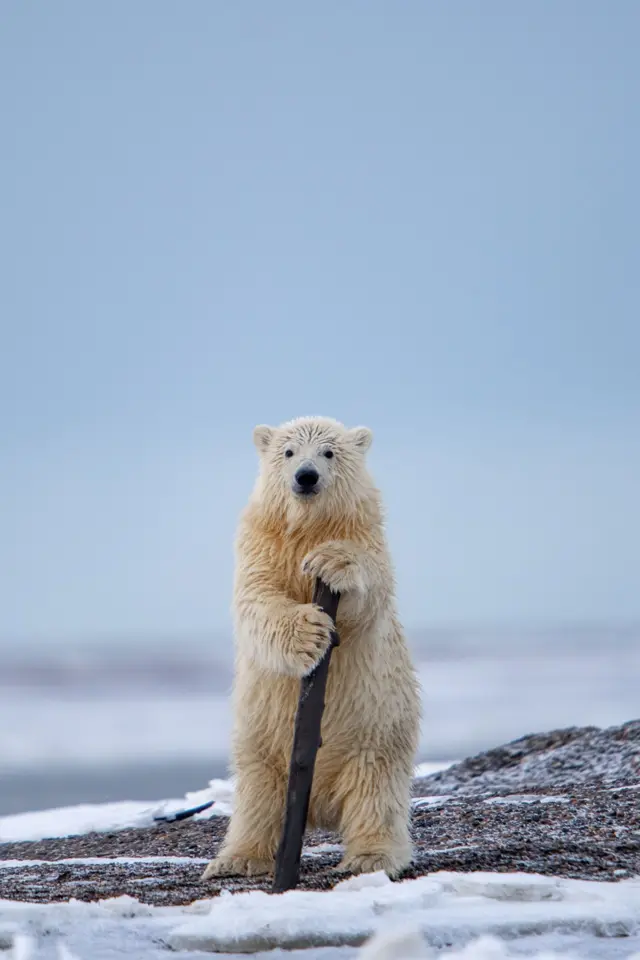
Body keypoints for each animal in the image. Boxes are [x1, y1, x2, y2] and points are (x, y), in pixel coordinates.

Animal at [202, 416, 421, 880]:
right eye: (288, 452)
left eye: (328, 452)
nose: (306, 476)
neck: (307, 528)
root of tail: (319, 808)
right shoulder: (261, 545)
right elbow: (257, 599)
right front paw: (309, 633)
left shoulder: (367, 537)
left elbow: (368, 592)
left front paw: (330, 562)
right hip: (261, 739)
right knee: (257, 796)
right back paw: (237, 859)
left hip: (379, 730)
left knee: (375, 793)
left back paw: (370, 856)